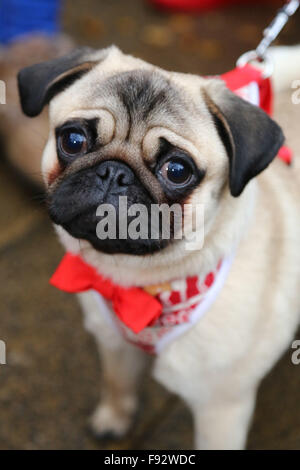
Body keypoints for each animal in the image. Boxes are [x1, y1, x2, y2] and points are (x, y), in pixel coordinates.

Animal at [18, 46, 300, 450]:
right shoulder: (114, 343)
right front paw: (114, 420)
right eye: (72, 140)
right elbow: (118, 383)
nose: (114, 173)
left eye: (177, 170)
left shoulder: (221, 408)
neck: (139, 280)